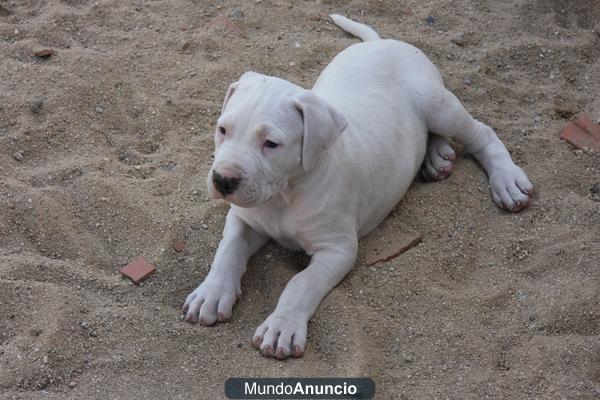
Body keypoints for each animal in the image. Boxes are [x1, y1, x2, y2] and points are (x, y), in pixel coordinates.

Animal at [180, 14, 532, 360]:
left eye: (271, 143)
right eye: (222, 130)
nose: (223, 180)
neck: (285, 195)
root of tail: (383, 43)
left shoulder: (338, 249)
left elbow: (301, 282)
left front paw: (282, 325)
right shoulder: (243, 219)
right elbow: (228, 250)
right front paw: (211, 294)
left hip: (438, 105)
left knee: (481, 133)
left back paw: (506, 180)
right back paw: (436, 157)